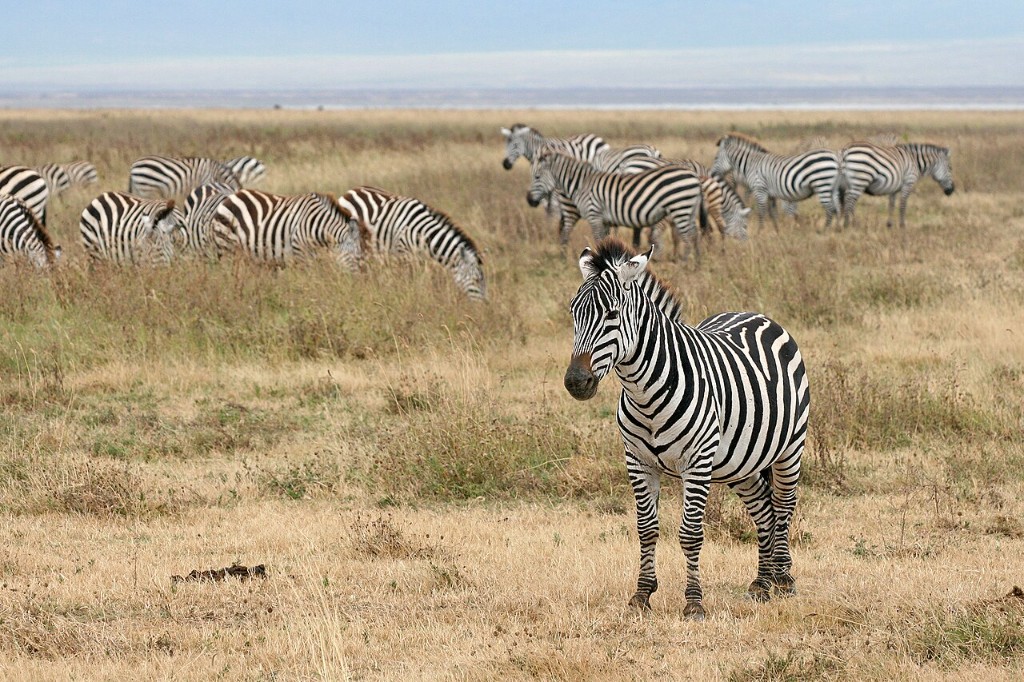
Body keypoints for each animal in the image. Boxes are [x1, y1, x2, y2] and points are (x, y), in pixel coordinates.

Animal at [213, 189, 361, 269]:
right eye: (354, 257)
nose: (358, 282)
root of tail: (230, 198)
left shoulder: (315, 257)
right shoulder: (300, 253)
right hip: (227, 247)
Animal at [338, 186, 486, 301]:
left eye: (483, 280)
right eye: (476, 280)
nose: (483, 307)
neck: (423, 232)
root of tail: (349, 192)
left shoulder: (420, 256)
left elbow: (422, 277)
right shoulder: (405, 253)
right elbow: (410, 278)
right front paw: (409, 294)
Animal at [528, 149, 705, 260]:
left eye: (537, 177)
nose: (529, 200)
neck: (582, 183)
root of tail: (695, 176)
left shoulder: (595, 215)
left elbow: (598, 240)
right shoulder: (605, 220)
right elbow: (605, 240)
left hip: (680, 208)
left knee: (688, 237)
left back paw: (684, 263)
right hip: (688, 209)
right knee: (695, 234)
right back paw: (697, 263)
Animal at [563, 238, 809, 619]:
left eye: (612, 315)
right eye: (574, 314)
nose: (576, 382)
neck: (645, 393)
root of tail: (755, 315)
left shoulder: (697, 460)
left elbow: (691, 533)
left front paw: (694, 602)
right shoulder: (637, 461)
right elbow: (646, 529)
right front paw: (641, 595)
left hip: (789, 448)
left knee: (783, 505)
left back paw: (783, 579)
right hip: (740, 463)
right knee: (763, 509)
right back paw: (761, 582)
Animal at [710, 134, 839, 230]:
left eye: (716, 158)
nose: (712, 174)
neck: (751, 163)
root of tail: (834, 156)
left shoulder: (759, 189)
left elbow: (762, 212)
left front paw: (760, 232)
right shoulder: (770, 194)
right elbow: (773, 214)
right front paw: (777, 231)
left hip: (823, 184)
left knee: (830, 209)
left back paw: (824, 231)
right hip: (831, 187)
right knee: (837, 208)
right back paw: (837, 230)